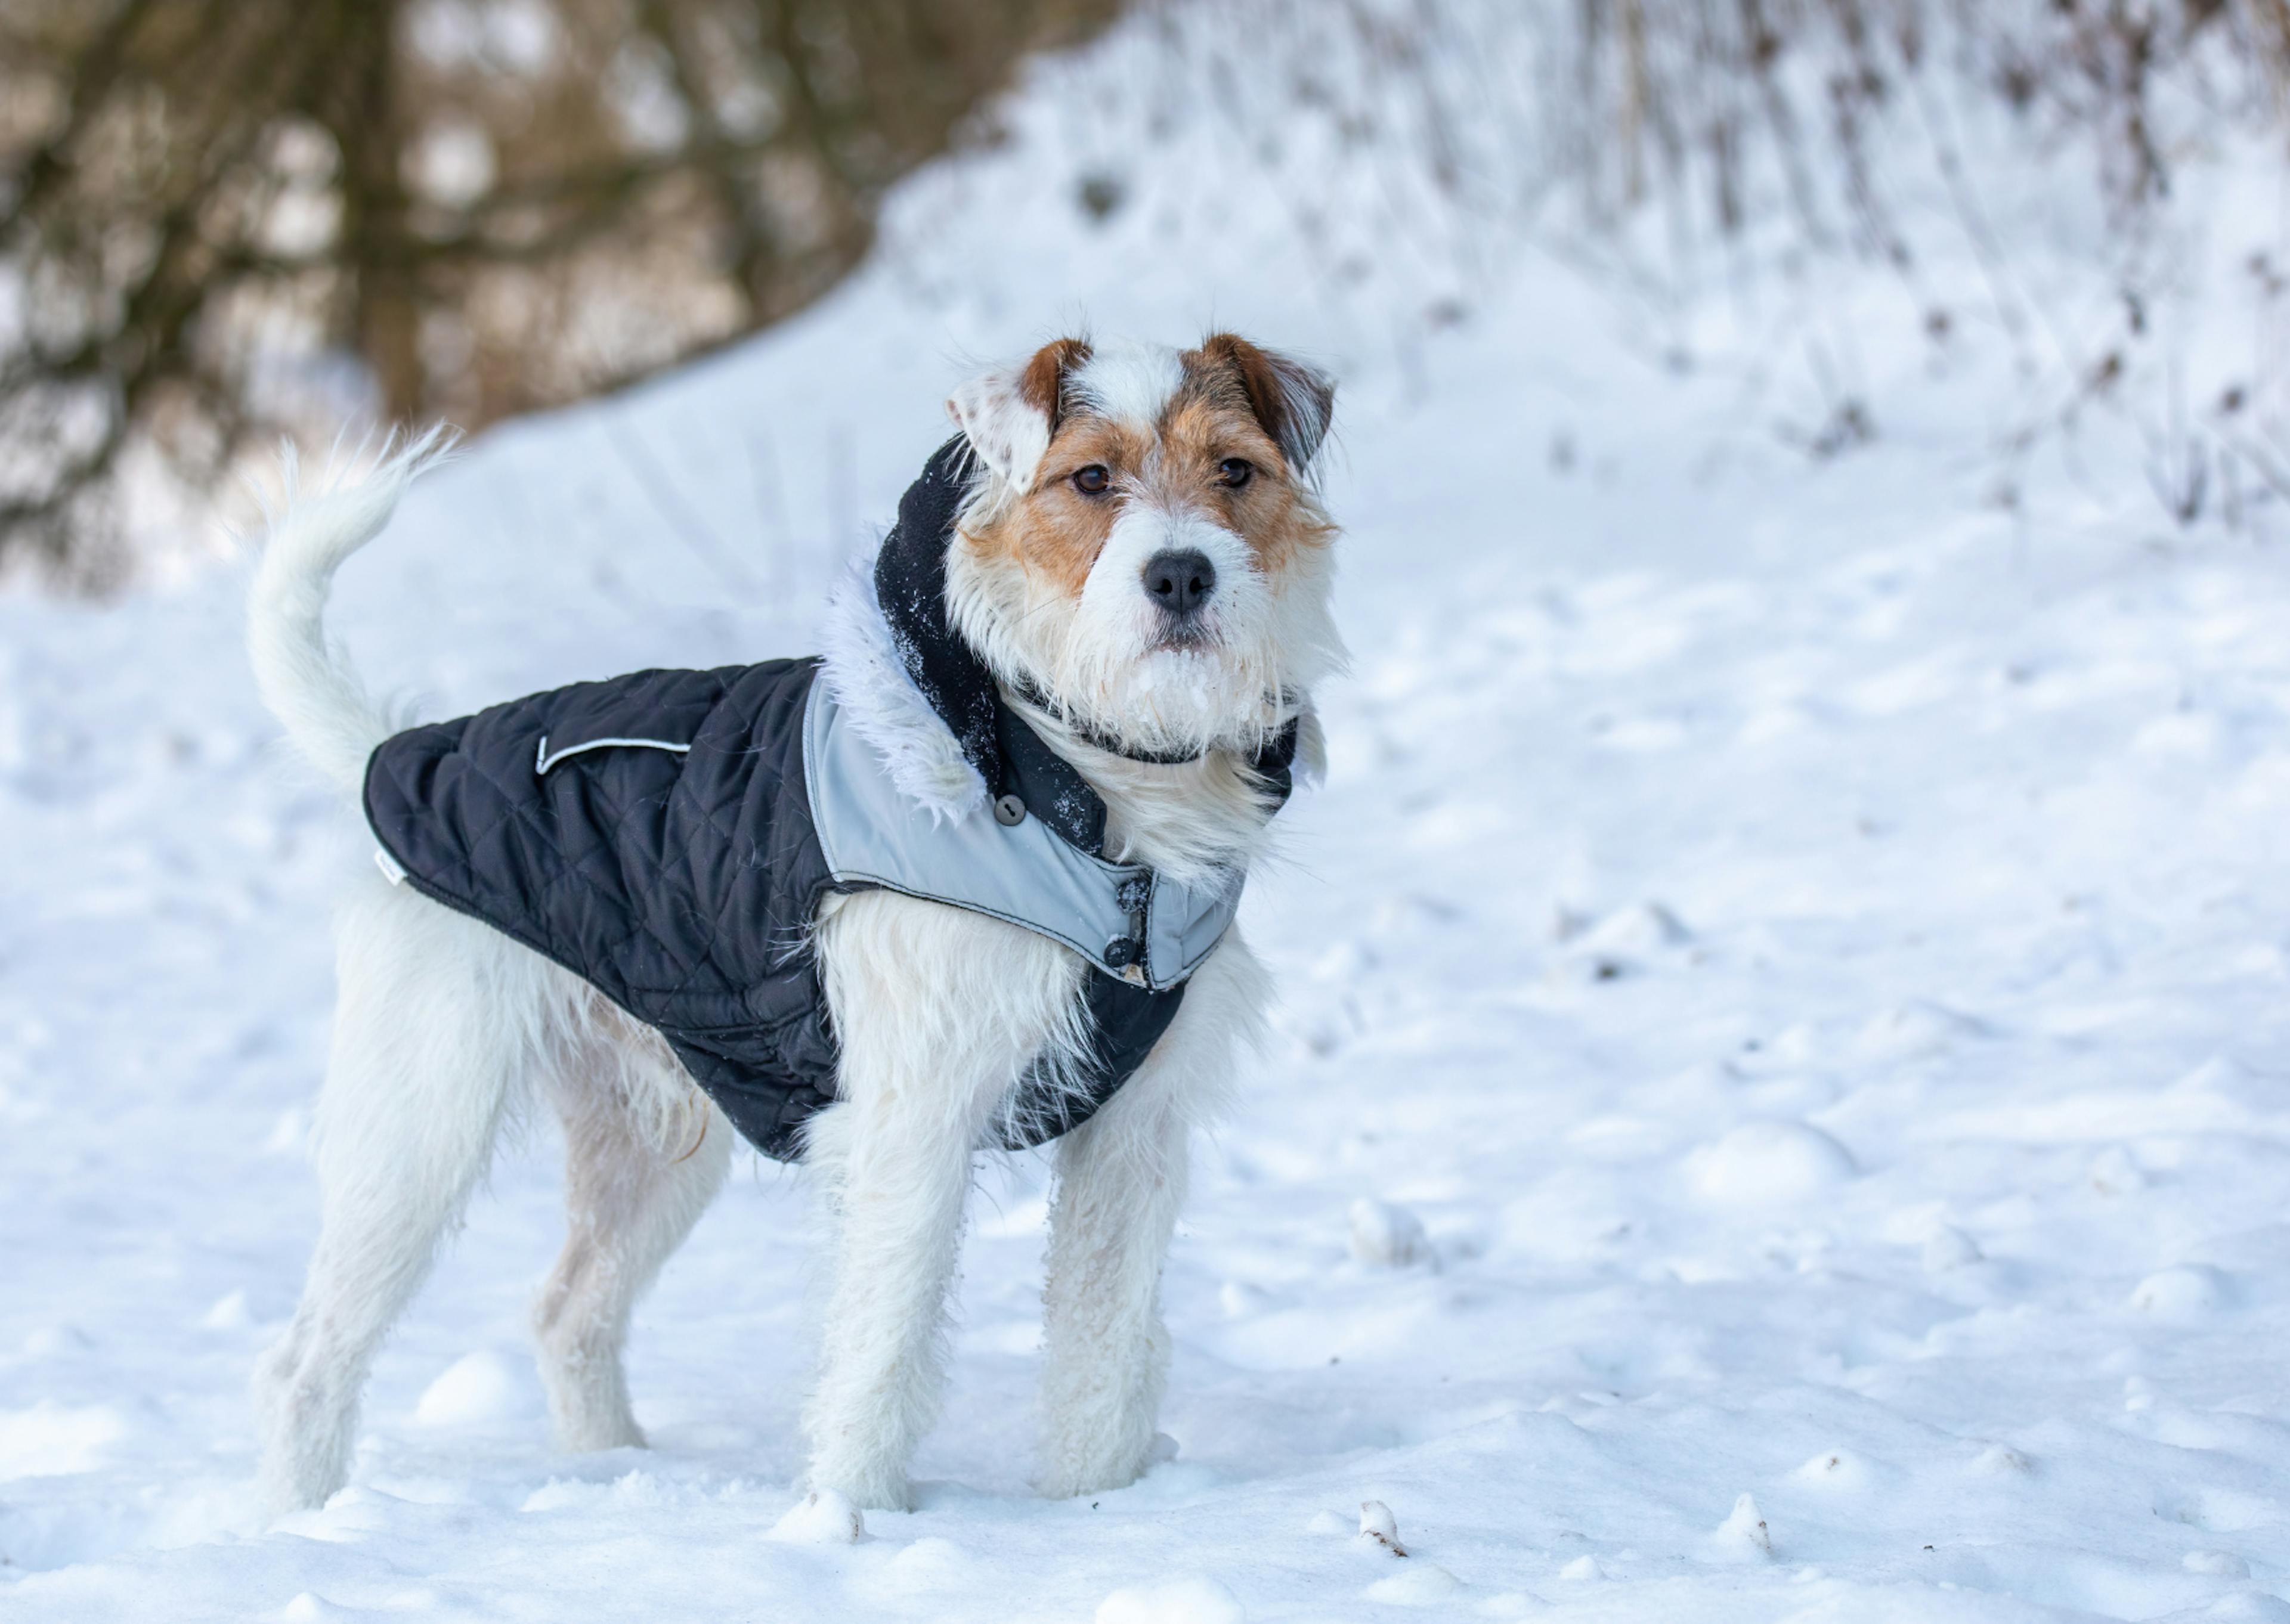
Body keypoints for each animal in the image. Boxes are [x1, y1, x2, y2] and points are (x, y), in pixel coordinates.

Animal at [242, 332, 1337, 1521]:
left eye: (1234, 470)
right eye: (1091, 477)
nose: (1181, 574)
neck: (1076, 786)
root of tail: (396, 750)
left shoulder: (1133, 1132)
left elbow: (1104, 1341)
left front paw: (1096, 1505)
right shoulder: (911, 1124)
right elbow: (882, 1347)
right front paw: (846, 1520)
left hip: (649, 1144)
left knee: (567, 1311)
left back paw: (611, 1473)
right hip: (420, 1126)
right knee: (305, 1358)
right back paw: (301, 1517)